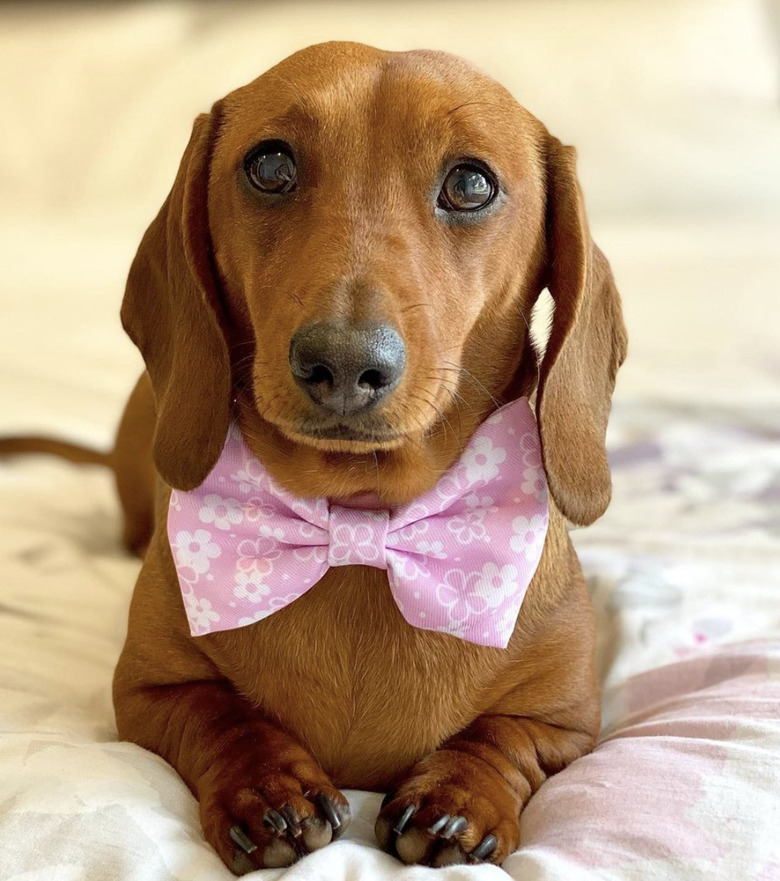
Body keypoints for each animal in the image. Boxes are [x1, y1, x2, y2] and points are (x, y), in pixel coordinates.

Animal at [0, 43, 628, 872]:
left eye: (470, 184)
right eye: (270, 165)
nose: (344, 361)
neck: (356, 522)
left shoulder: (568, 721)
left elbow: (504, 736)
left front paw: (458, 795)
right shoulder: (145, 690)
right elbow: (218, 714)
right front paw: (267, 789)